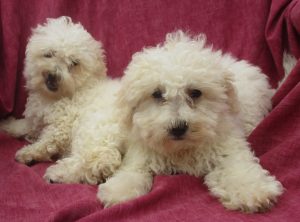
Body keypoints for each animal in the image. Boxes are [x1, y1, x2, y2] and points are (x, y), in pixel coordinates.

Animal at [98, 30, 284, 212]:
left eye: (195, 92)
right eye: (157, 94)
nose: (178, 128)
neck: (182, 150)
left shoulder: (228, 143)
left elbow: (237, 165)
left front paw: (252, 190)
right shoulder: (141, 148)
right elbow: (134, 168)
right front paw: (119, 190)